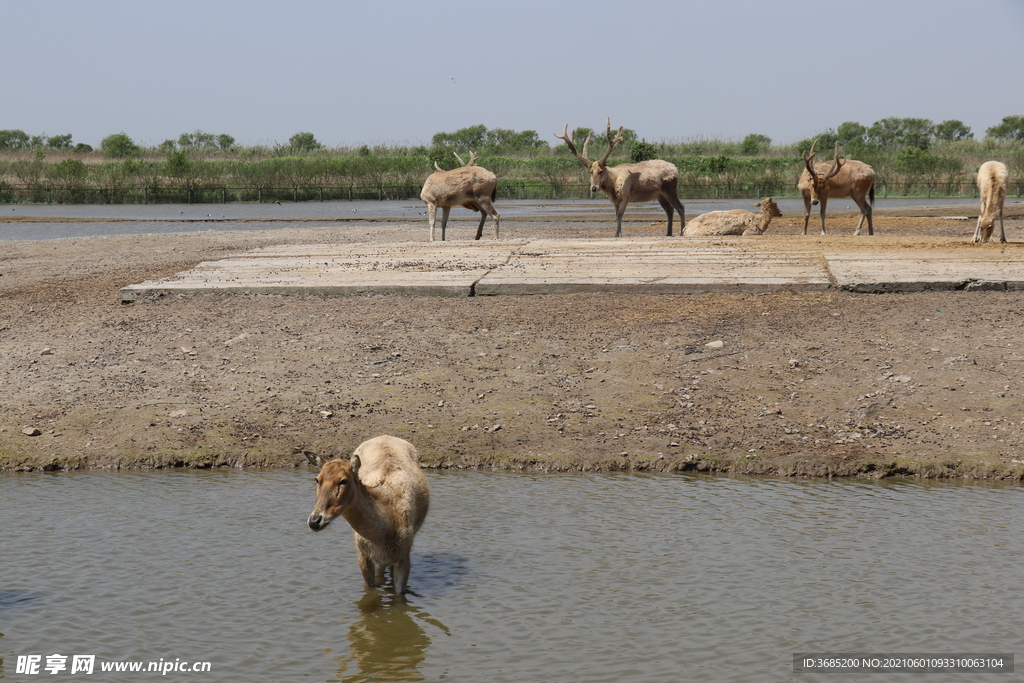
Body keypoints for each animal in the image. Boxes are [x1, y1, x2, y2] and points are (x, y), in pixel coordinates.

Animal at [305, 436, 430, 593]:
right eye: (317, 479)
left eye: (343, 480)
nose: (315, 521)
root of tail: (385, 436)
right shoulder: (364, 556)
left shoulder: (404, 558)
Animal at [552, 121, 688, 239]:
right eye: (590, 172)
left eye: (601, 171)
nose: (593, 188)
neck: (612, 186)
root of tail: (676, 169)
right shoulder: (615, 200)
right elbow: (616, 216)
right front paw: (616, 234)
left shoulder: (625, 195)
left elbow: (620, 215)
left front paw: (619, 234)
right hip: (660, 195)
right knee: (670, 210)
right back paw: (668, 233)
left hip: (670, 188)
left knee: (680, 207)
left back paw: (682, 232)